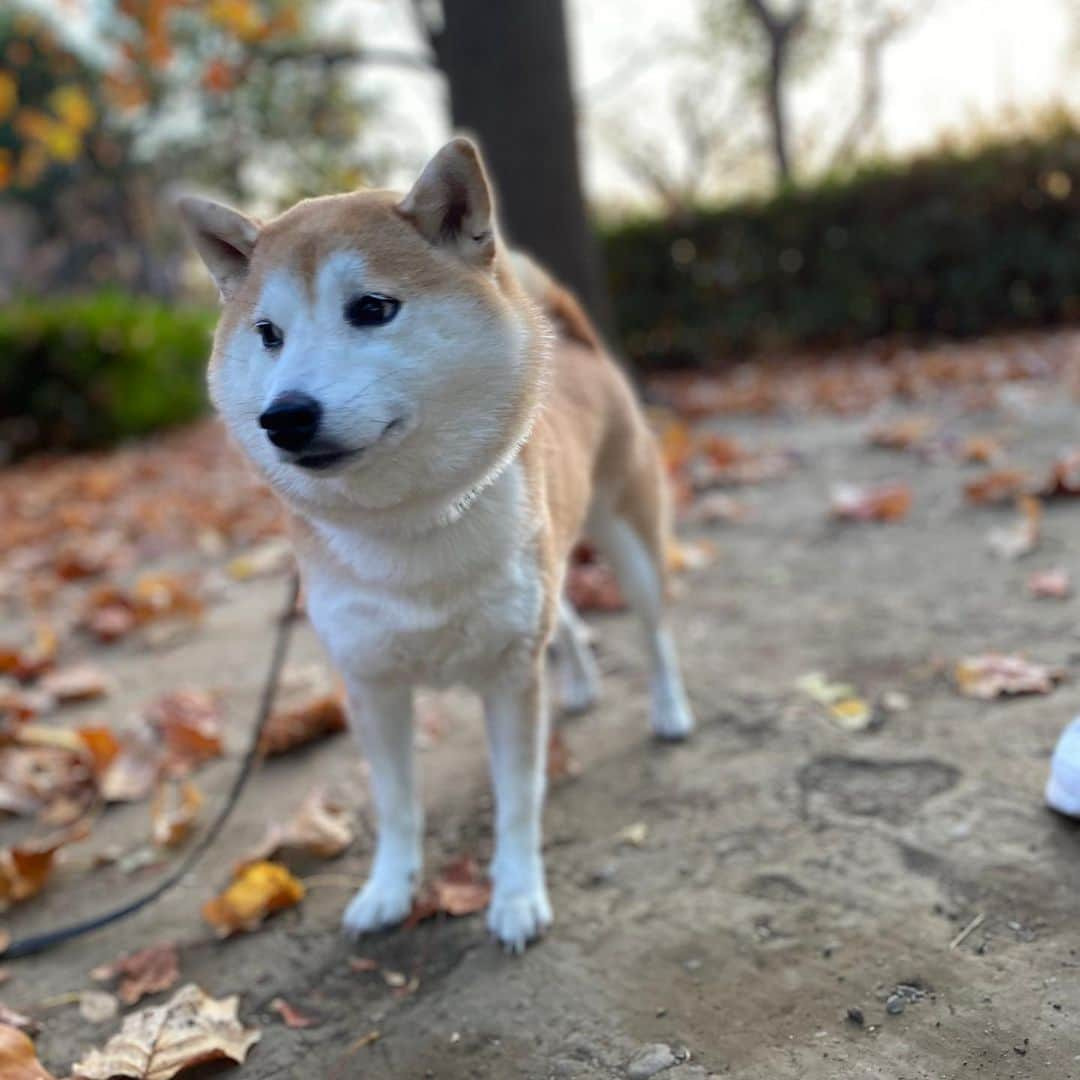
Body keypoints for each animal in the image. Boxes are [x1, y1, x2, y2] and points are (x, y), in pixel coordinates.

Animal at [179, 137, 691, 954]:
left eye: (372, 309)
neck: (406, 528)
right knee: (567, 621)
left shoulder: (509, 678)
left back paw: (670, 711)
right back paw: (579, 686)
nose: (283, 417)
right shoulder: (371, 682)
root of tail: (583, 350)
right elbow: (396, 805)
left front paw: (516, 896)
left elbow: (519, 800)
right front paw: (388, 890)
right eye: (267, 333)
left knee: (654, 631)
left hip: (628, 541)